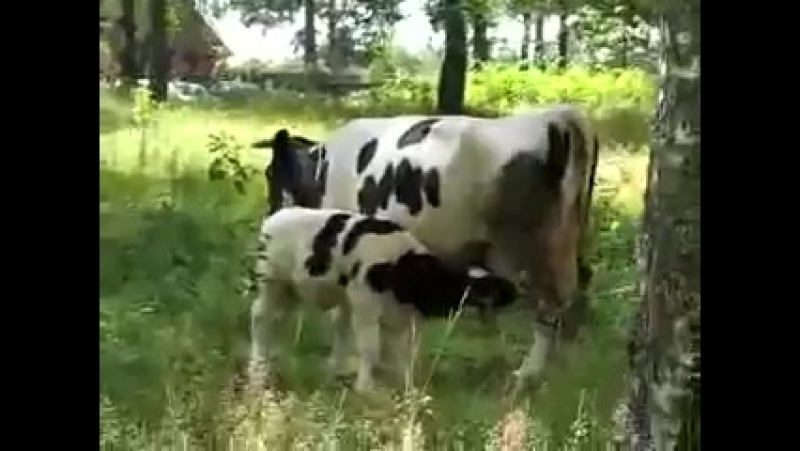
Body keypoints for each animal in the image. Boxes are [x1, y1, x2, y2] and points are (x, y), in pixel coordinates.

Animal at [248, 206, 518, 392]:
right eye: (477, 294)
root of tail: (277, 215)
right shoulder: (365, 305)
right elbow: (371, 350)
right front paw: (365, 388)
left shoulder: (401, 317)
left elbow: (405, 355)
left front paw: (408, 389)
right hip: (271, 281)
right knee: (261, 318)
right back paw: (257, 367)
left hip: (290, 290)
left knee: (278, 320)